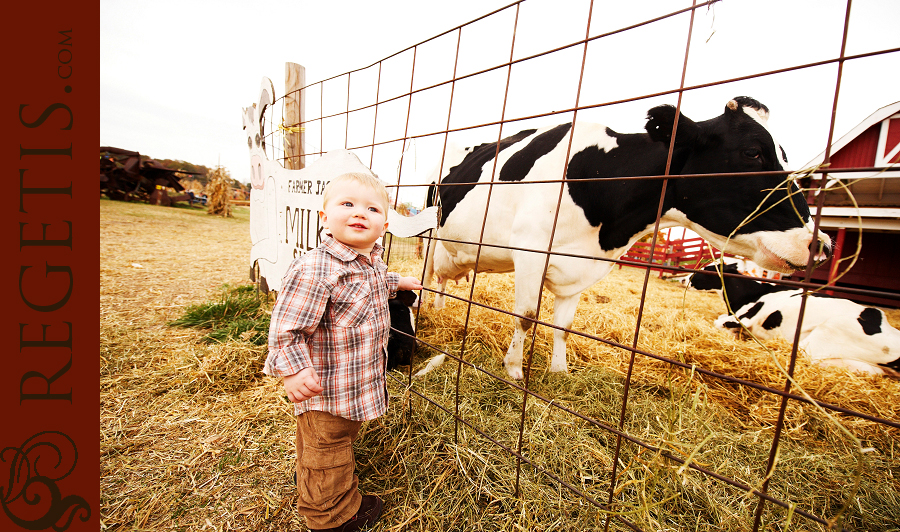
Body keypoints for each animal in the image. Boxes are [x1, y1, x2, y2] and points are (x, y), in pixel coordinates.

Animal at [422, 97, 828, 380]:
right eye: (753, 152)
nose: (821, 243)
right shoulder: (530, 251)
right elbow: (526, 316)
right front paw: (514, 370)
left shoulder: (579, 267)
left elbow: (563, 327)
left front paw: (559, 371)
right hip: (430, 235)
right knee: (427, 276)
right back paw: (423, 312)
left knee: (443, 280)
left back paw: (440, 311)